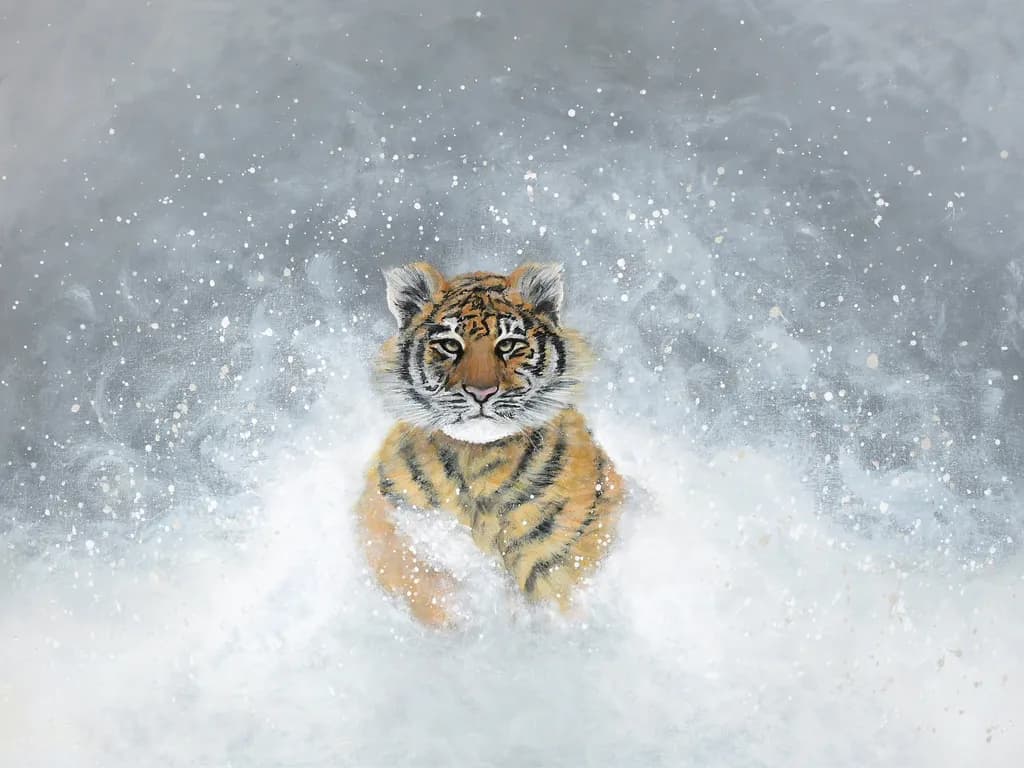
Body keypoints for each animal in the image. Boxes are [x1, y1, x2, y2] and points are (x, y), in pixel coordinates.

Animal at [354, 262, 624, 627]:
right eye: (450, 345)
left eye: (508, 344)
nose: (481, 392)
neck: (476, 460)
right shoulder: (398, 534)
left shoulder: (561, 564)